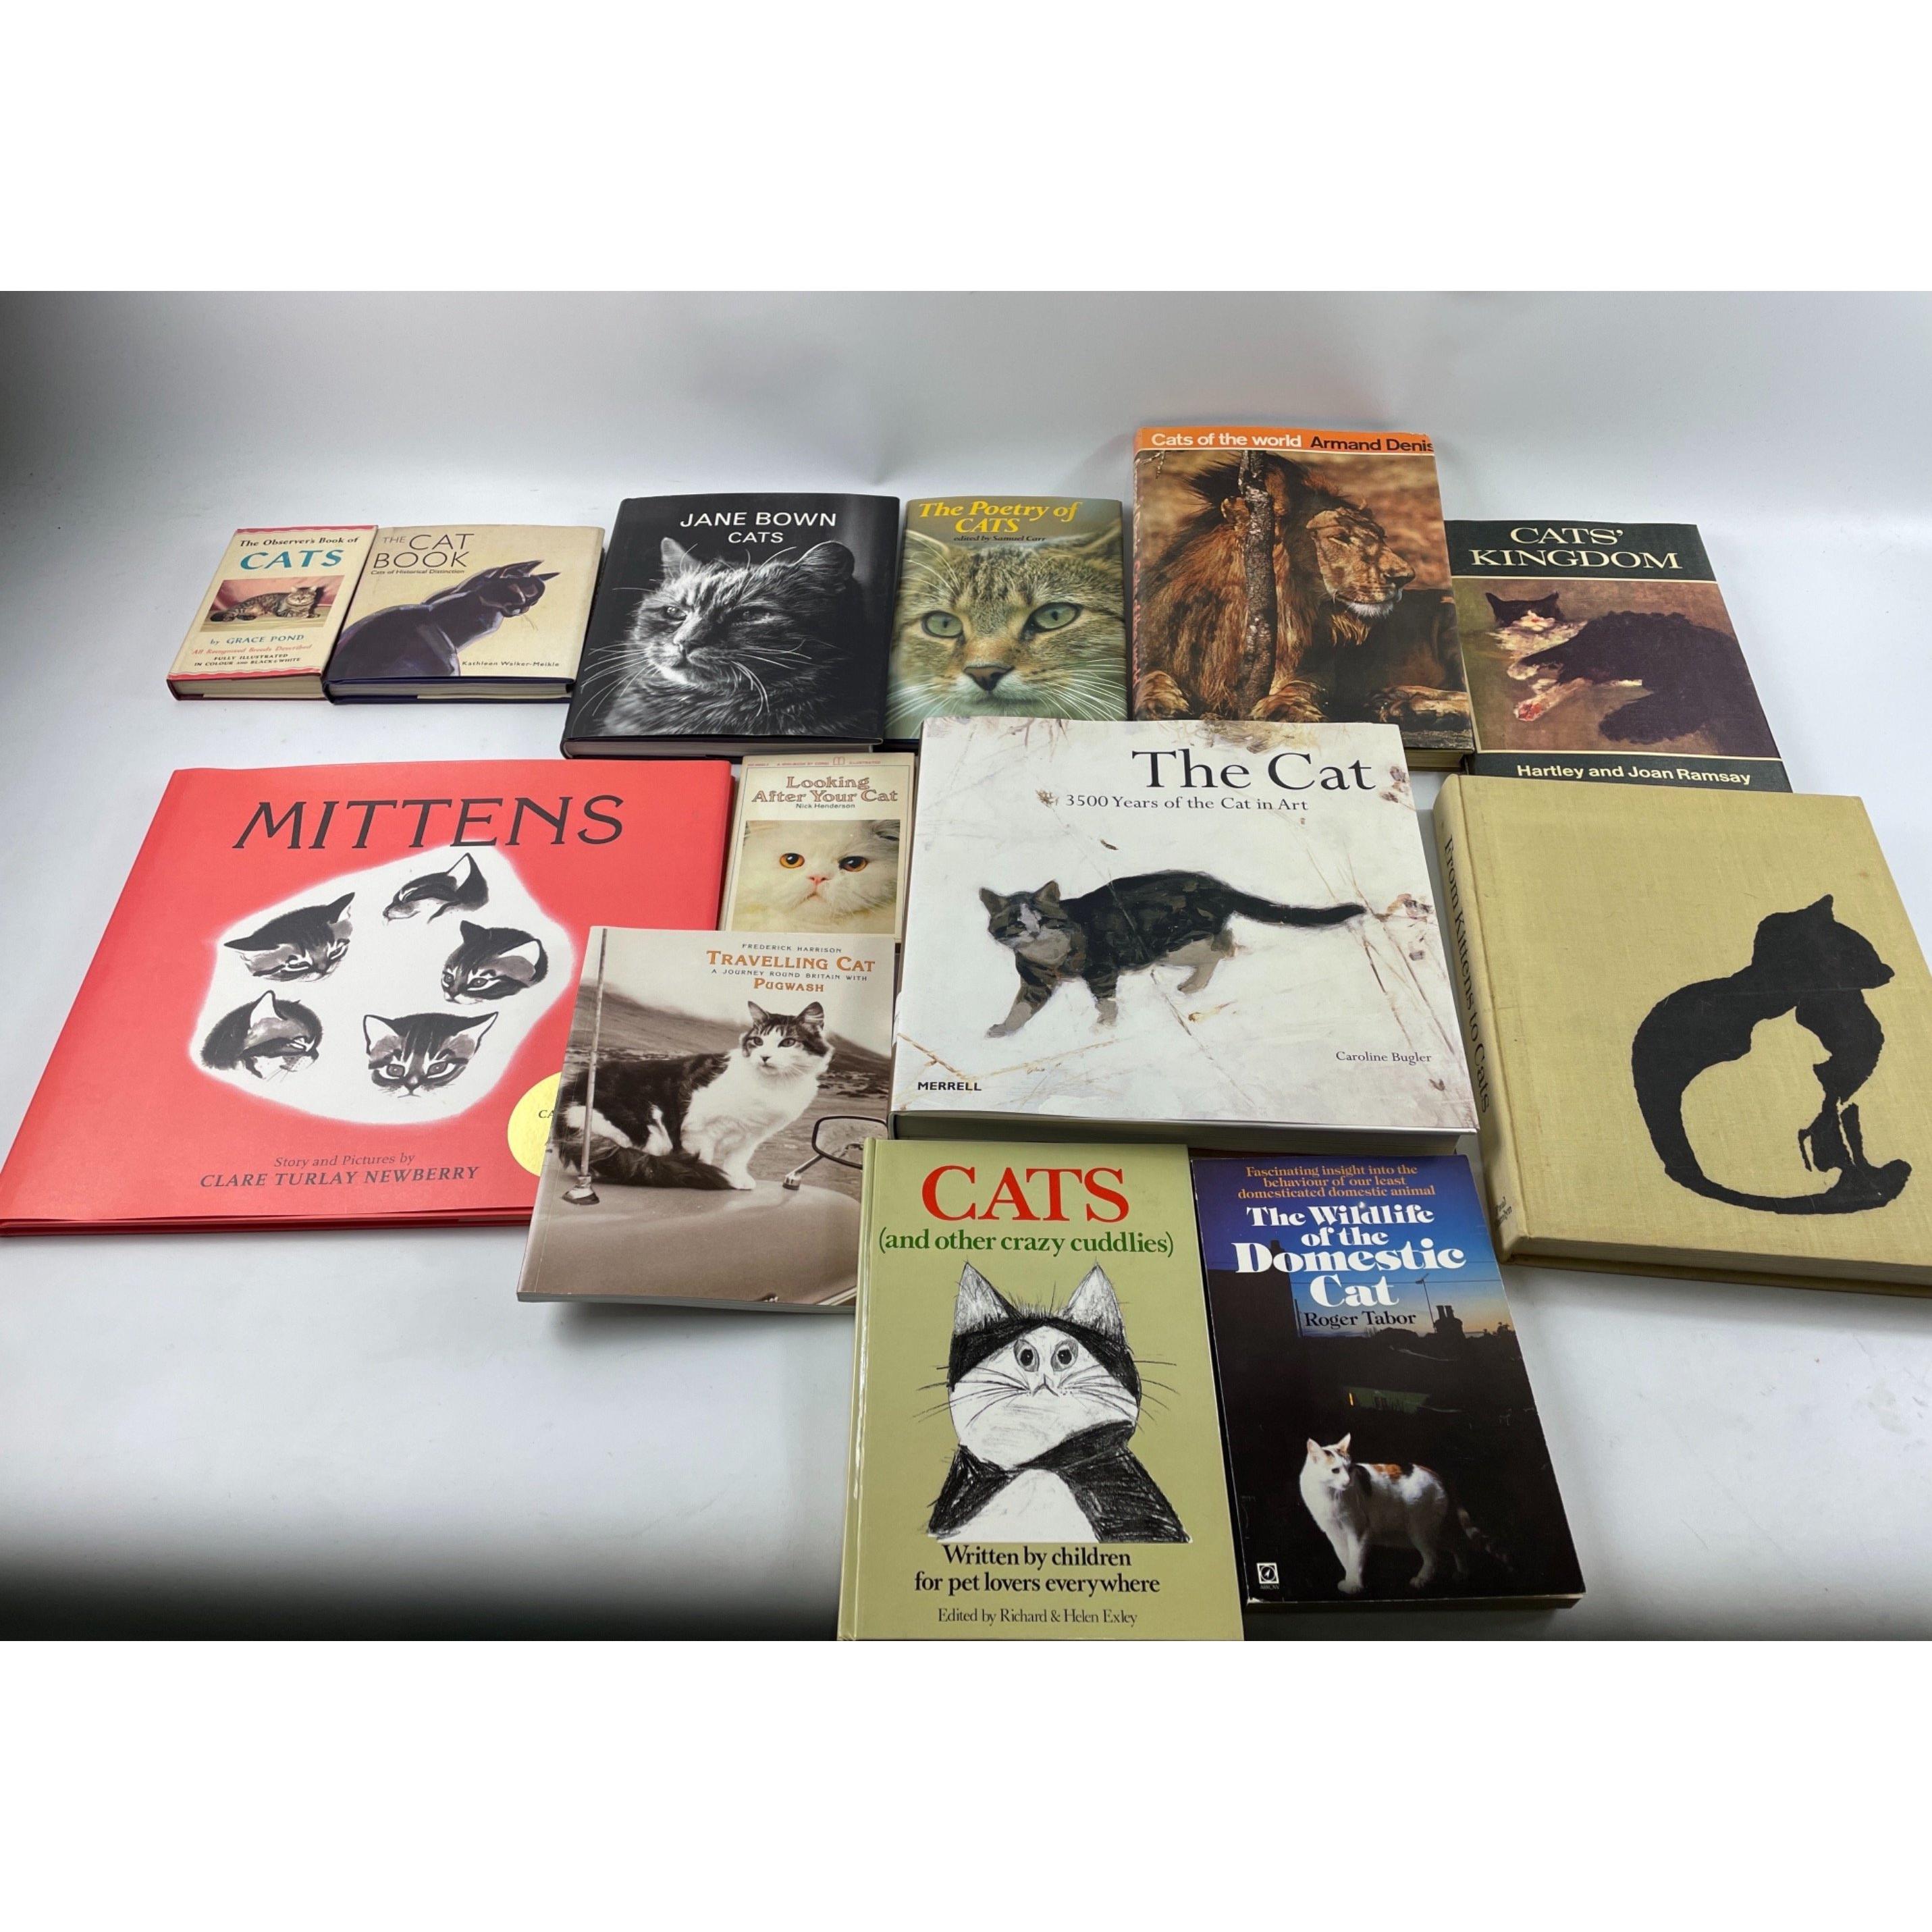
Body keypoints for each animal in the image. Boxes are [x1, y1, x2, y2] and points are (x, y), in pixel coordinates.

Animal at [556, 1001, 831, 1190]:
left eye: (788, 1043)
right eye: (758, 1041)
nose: (764, 1057)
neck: (771, 1087)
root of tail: (570, 1095)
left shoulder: (752, 1136)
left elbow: (738, 1159)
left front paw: (738, 1179)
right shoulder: (699, 1129)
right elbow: (705, 1158)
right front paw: (710, 1177)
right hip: (645, 1131)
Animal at [978, 870, 1365, 1035]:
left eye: (1043, 919)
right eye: (1016, 924)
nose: (1033, 931)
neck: (1051, 959)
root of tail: (1220, 886)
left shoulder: (1102, 970)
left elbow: (1105, 1002)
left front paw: (1104, 1026)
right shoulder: (1034, 982)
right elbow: (1020, 1009)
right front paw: (1003, 1031)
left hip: (1169, 945)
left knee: (1221, 948)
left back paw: (1194, 984)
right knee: (1225, 941)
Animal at [1132, 452, 1470, 747]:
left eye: (1381, 536)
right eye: (1340, 537)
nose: (1406, 576)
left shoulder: (1318, 668)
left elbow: (1303, 686)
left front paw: (1285, 708)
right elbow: (1150, 675)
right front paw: (1158, 703)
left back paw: (1416, 710)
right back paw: (1391, 699)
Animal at [1299, 1435, 1471, 1594]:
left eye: (1350, 1469)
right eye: (1335, 1470)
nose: (1349, 1481)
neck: (1328, 1493)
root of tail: (1437, 1475)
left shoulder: (1358, 1532)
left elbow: (1355, 1560)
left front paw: (1355, 1586)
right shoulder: (1335, 1534)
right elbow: (1345, 1559)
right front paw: (1349, 1581)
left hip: (1420, 1531)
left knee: (1434, 1557)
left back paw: (1422, 1579)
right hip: (1436, 1530)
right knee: (1457, 1544)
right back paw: (1462, 1573)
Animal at [1632, 896, 1911, 1215]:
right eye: (1856, 953)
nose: (1887, 972)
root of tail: (1686, 1171)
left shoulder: (1848, 1098)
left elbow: (1854, 1141)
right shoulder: (1830, 1088)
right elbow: (1845, 1145)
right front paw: (1864, 1185)